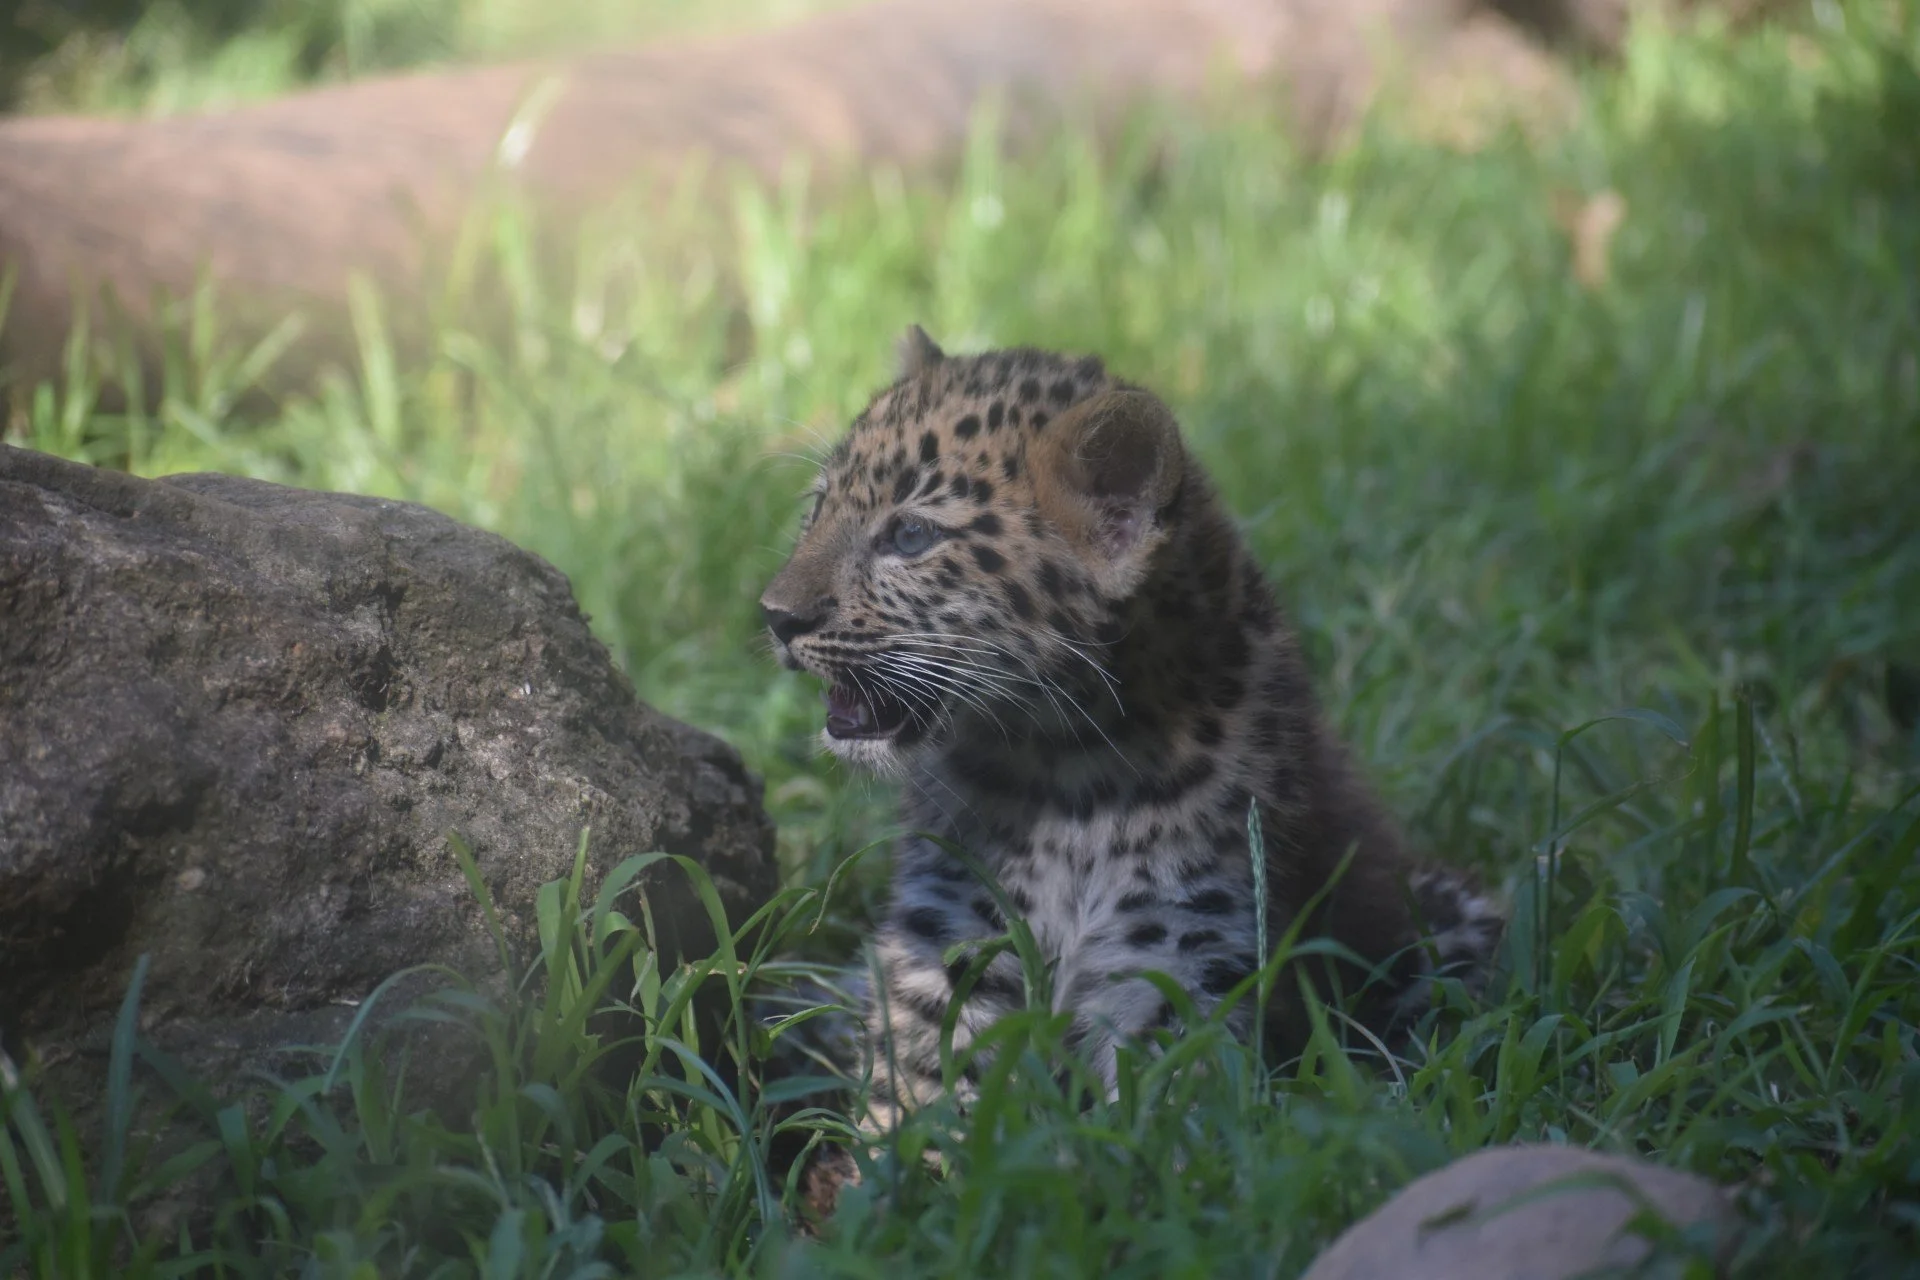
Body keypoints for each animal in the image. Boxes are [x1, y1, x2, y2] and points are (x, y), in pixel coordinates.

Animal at [759, 327, 1503, 1142]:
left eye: (911, 535)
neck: (1059, 764)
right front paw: (898, 1163)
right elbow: (922, 1083)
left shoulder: (1179, 949)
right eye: (818, 508)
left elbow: (1158, 1114)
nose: (775, 616)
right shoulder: (949, 924)